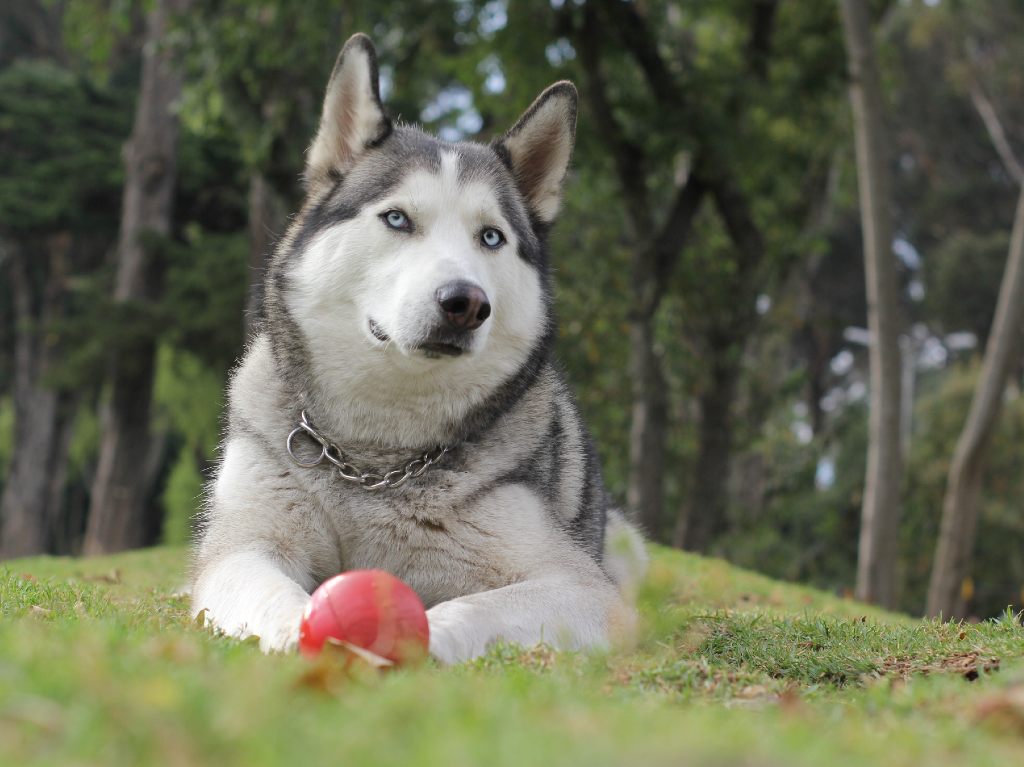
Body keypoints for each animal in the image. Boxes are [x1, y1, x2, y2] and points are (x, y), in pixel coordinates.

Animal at [188, 33, 643, 659]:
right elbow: (271, 593)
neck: (374, 462)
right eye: (398, 219)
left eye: (491, 236)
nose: (466, 303)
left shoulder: (585, 590)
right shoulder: (240, 548)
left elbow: (472, 608)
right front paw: (303, 633)